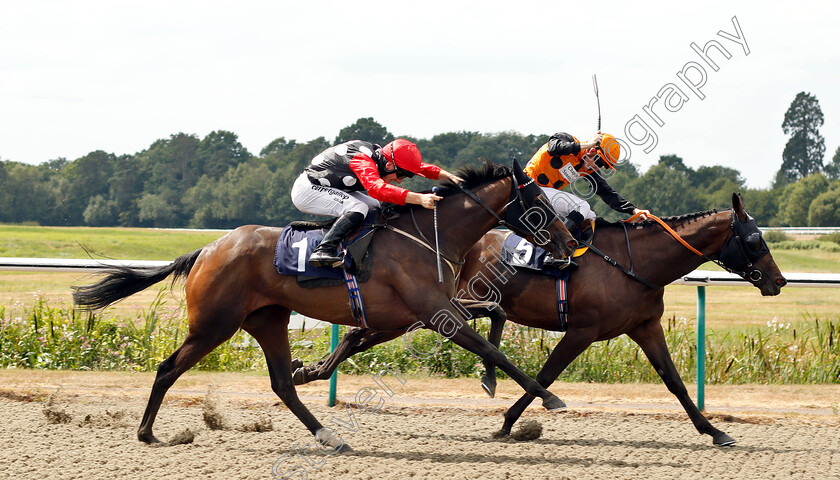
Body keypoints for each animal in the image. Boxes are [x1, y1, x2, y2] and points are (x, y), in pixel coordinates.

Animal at [72, 161, 576, 450]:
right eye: (537, 197)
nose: (570, 242)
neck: (431, 235)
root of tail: (208, 248)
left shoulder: (427, 312)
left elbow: (495, 317)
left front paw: (496, 384)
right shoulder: (435, 313)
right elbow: (493, 348)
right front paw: (548, 397)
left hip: (266, 321)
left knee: (281, 383)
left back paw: (329, 436)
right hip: (214, 324)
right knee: (167, 369)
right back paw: (146, 433)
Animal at [290, 192, 788, 446]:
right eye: (755, 239)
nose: (779, 281)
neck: (634, 263)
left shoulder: (644, 327)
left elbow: (676, 382)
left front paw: (716, 431)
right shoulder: (583, 330)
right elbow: (547, 374)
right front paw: (509, 422)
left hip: (412, 313)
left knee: (357, 336)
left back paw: (307, 371)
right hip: (431, 309)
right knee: (360, 336)